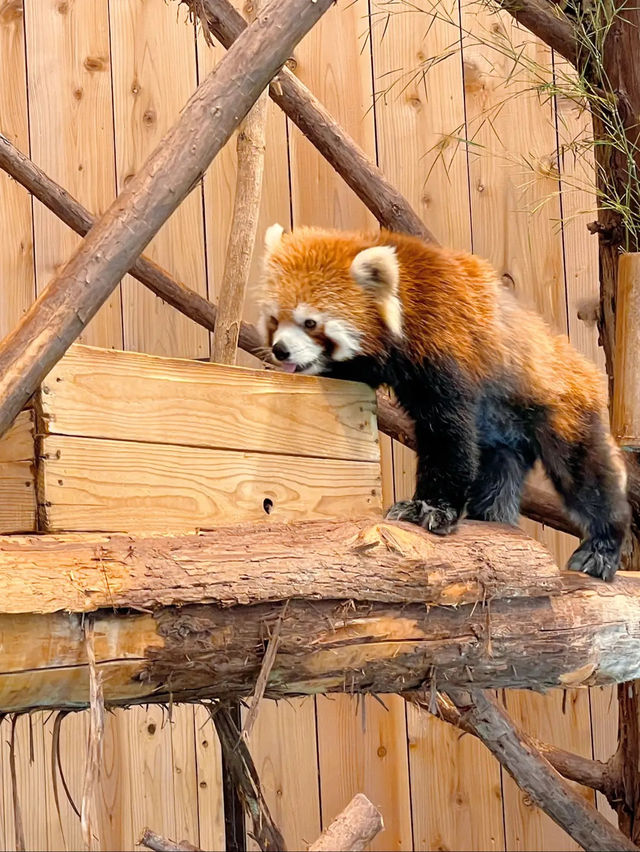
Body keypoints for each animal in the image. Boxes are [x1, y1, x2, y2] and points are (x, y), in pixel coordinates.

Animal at [256, 221, 632, 580]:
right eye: (275, 319)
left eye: (310, 323)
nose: (280, 349)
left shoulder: (446, 344)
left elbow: (448, 435)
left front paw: (429, 507)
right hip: (505, 438)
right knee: (498, 473)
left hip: (561, 409)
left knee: (587, 479)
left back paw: (601, 548)